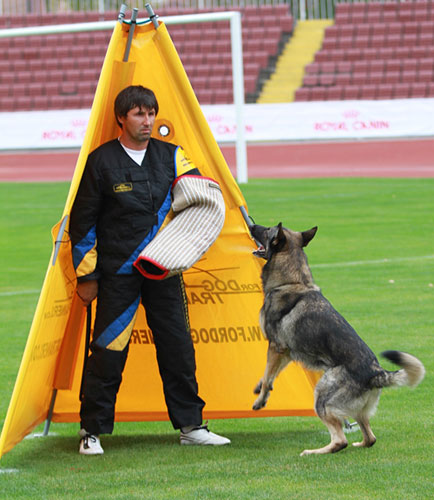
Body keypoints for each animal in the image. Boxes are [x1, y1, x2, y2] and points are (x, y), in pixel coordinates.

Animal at [251, 225, 424, 456]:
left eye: (267, 230)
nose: (252, 226)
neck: (293, 281)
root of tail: (376, 373)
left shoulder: (276, 348)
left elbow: (269, 374)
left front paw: (260, 400)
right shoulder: (286, 352)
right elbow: (269, 375)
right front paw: (261, 386)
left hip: (322, 397)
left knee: (340, 441)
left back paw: (313, 452)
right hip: (357, 410)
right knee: (370, 438)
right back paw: (358, 443)